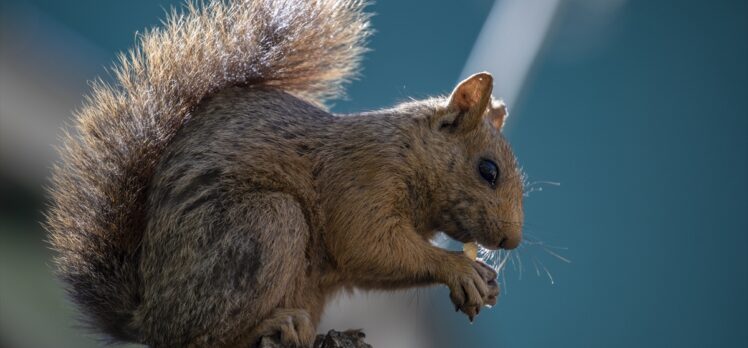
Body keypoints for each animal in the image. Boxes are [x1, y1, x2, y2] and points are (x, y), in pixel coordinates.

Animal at [43, 0, 524, 348]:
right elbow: (368, 247)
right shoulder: (362, 179)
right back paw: (271, 324)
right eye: (488, 170)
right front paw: (458, 269)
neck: (409, 153)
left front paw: (489, 282)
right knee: (200, 337)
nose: (511, 241)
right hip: (262, 225)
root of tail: (148, 317)